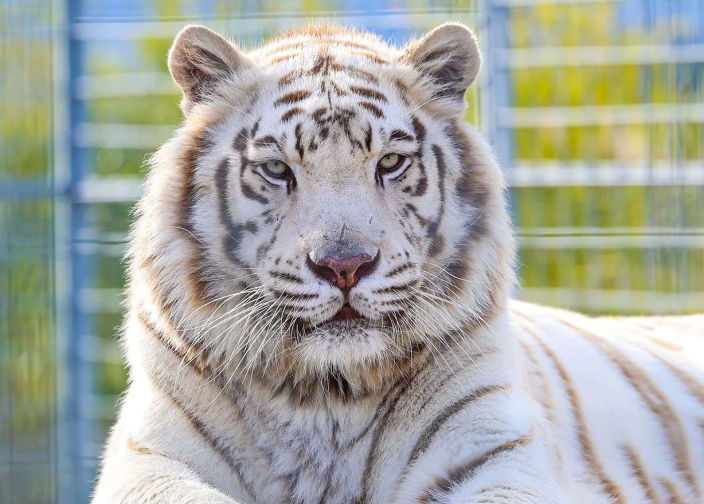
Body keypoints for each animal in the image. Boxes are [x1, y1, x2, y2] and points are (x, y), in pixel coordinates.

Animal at [91, 22, 704, 504]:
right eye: (277, 170)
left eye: (389, 163)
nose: (344, 266)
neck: (325, 395)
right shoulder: (149, 458)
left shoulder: (495, 451)